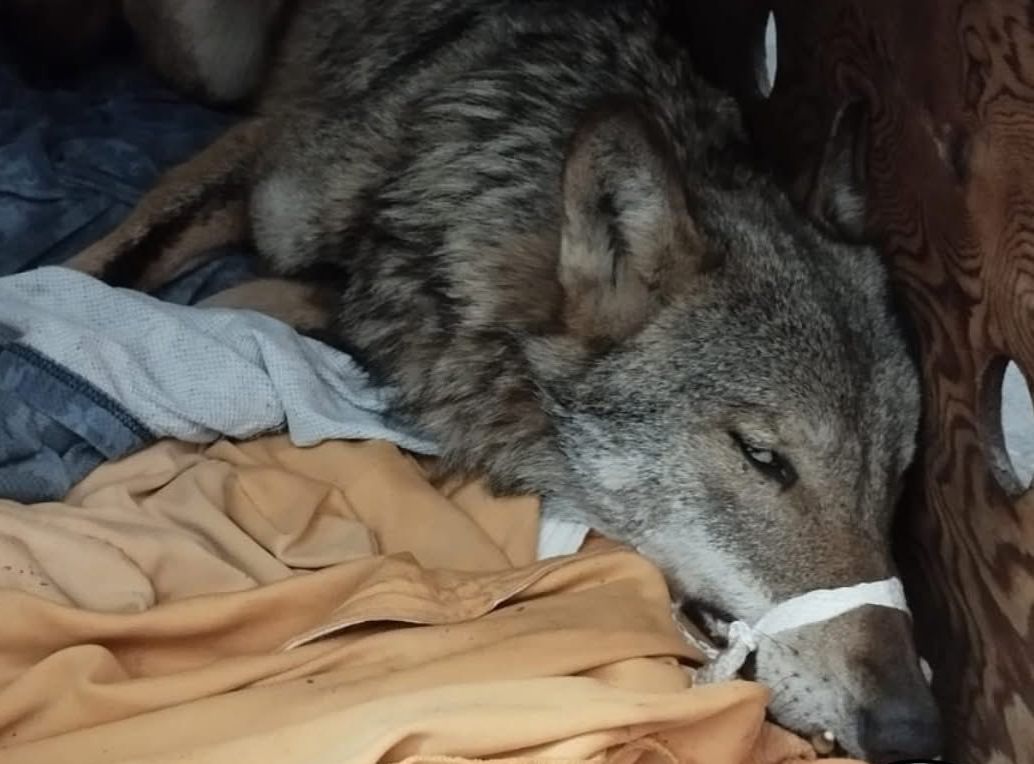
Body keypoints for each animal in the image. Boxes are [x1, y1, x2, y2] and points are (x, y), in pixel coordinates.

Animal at [63, 1, 941, 760]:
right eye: (762, 457)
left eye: (895, 478)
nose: (913, 728)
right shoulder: (263, 158)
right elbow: (105, 264)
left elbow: (255, 297)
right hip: (214, 62)